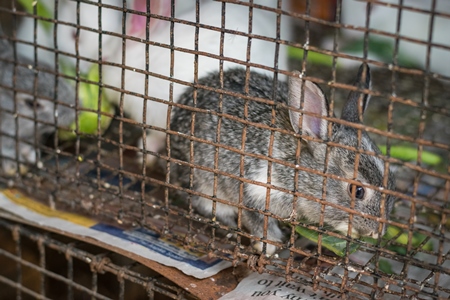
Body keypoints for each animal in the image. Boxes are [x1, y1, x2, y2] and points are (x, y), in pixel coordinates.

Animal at [168, 64, 394, 254]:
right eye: (357, 191)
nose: (377, 232)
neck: (298, 169)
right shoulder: (253, 190)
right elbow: (258, 222)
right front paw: (268, 246)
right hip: (203, 183)